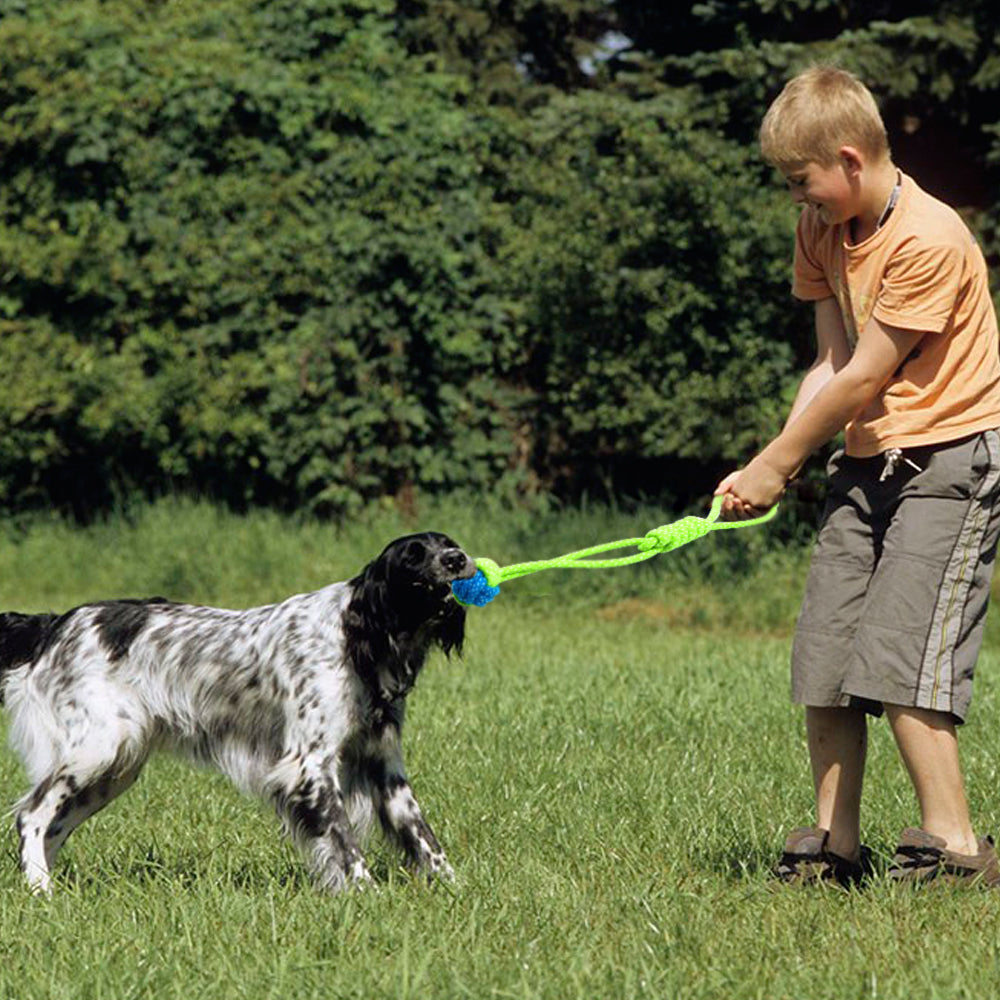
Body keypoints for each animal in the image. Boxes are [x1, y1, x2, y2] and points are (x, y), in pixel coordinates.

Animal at [0, 536, 474, 896]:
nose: (457, 558)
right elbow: (344, 841)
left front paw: (457, 888)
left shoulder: (384, 764)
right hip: (97, 751)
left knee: (53, 827)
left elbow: (423, 836)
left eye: (447, 543)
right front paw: (366, 892)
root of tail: (57, 623)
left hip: (114, 770)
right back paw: (41, 891)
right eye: (413, 555)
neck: (357, 637)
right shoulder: (308, 766)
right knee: (33, 816)